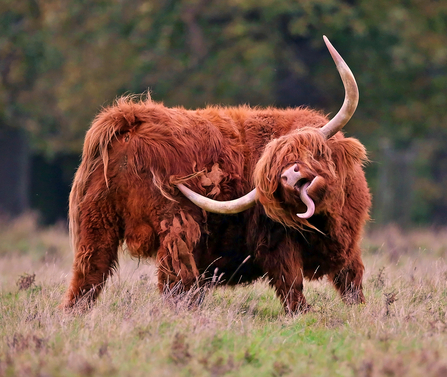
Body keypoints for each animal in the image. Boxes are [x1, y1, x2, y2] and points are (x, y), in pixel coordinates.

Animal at [63, 36, 372, 312]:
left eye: (313, 151)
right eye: (275, 170)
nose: (289, 175)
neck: (325, 223)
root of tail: (129, 121)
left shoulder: (349, 245)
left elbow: (351, 281)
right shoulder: (276, 242)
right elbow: (291, 285)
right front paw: (305, 315)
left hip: (95, 222)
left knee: (88, 274)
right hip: (174, 224)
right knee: (175, 281)